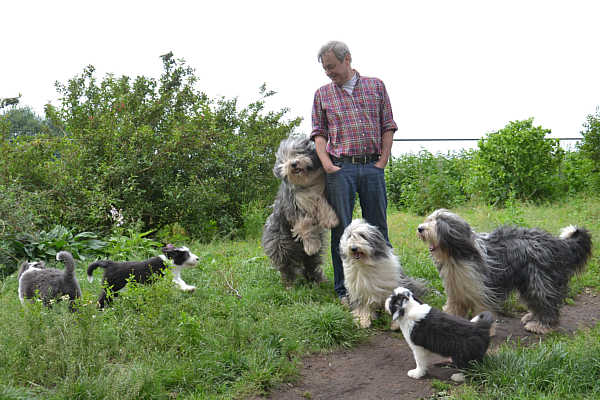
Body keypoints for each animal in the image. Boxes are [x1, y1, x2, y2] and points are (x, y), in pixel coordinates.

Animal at [262, 136, 340, 286]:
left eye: (298, 152)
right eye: (284, 159)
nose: (293, 164)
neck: (306, 183)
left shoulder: (319, 194)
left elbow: (322, 205)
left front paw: (331, 220)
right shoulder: (293, 207)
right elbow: (304, 225)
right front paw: (311, 245)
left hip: (308, 257)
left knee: (311, 264)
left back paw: (318, 280)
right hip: (280, 245)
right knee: (285, 266)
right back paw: (289, 285)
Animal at [418, 208, 592, 332]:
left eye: (438, 222)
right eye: (429, 219)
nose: (420, 228)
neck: (457, 256)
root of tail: (556, 243)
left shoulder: (483, 291)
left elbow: (482, 310)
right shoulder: (456, 290)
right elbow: (453, 308)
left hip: (539, 279)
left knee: (546, 300)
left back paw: (541, 325)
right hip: (527, 281)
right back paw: (531, 317)